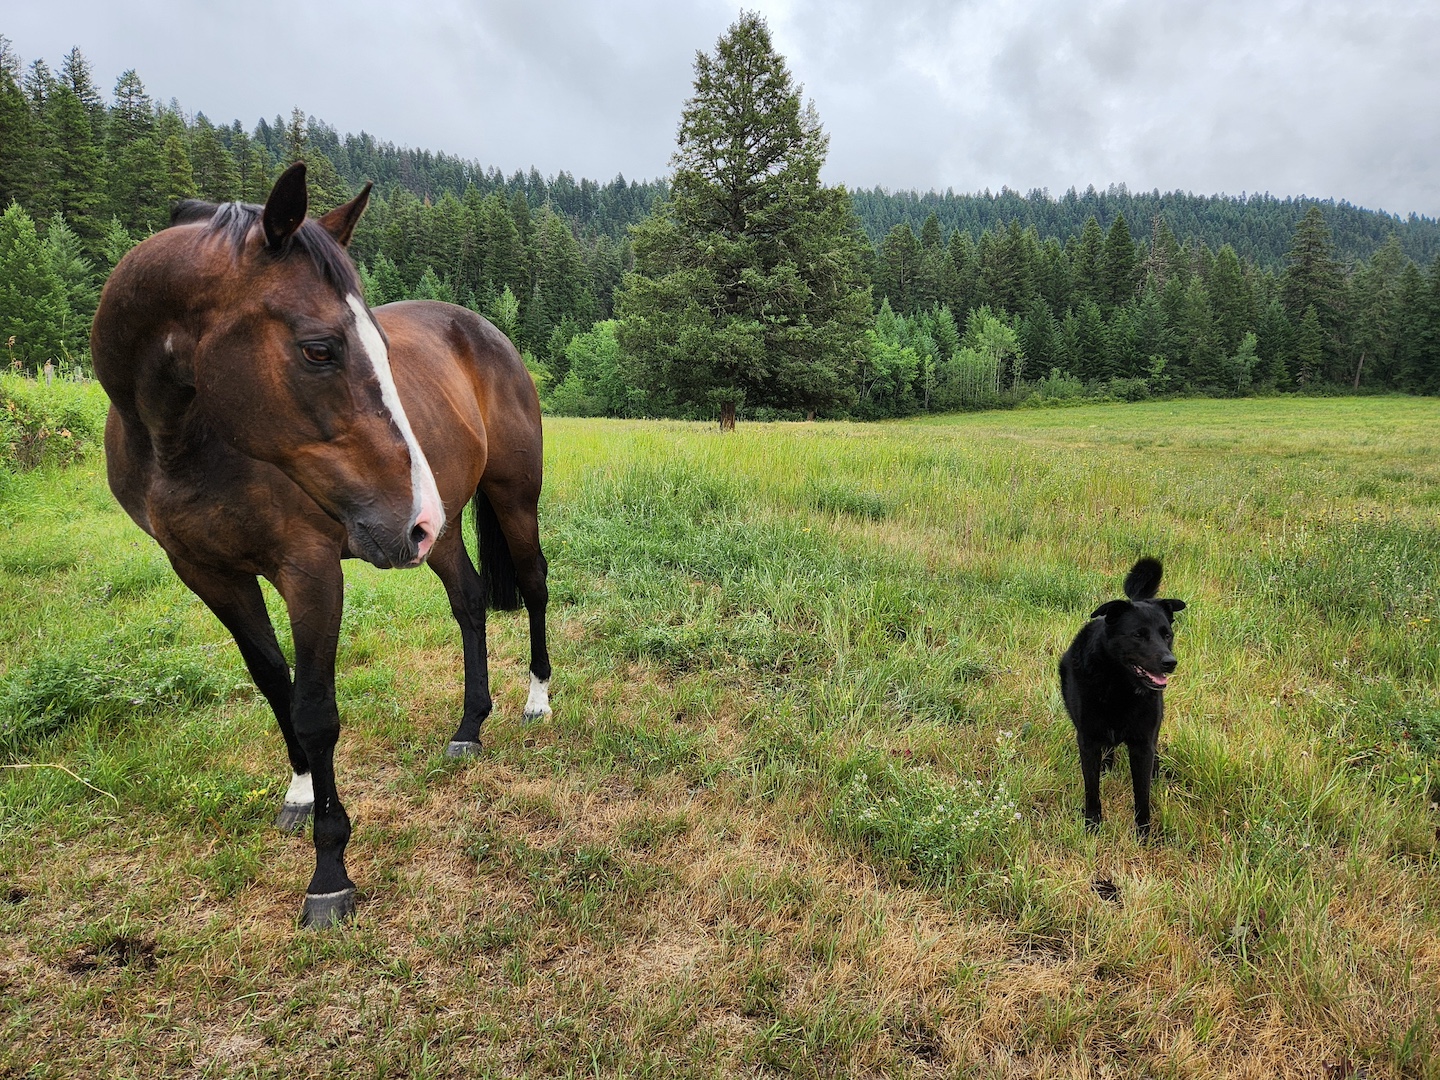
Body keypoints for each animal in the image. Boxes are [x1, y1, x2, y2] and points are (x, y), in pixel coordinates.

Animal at [91, 162, 550, 933]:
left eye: (380, 348)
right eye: (318, 349)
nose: (414, 515)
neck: (183, 440)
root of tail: (486, 330)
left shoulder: (307, 570)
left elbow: (315, 710)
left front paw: (329, 871)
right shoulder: (207, 573)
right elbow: (273, 681)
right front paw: (302, 792)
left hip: (503, 500)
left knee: (537, 584)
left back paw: (538, 698)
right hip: (441, 530)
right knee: (469, 601)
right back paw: (469, 725)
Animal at [1065, 558, 1186, 835]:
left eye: (1167, 634)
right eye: (1138, 635)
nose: (1170, 662)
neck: (1119, 687)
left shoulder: (1142, 744)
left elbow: (1142, 793)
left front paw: (1143, 834)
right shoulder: (1088, 740)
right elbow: (1092, 788)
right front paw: (1092, 824)